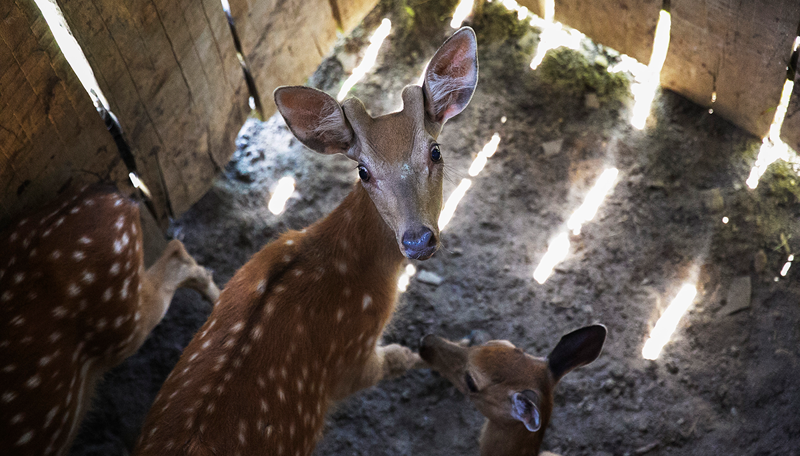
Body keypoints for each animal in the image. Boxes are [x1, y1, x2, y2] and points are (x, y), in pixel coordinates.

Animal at [134, 27, 478, 456]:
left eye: (435, 151)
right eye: (363, 170)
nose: (418, 240)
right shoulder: (352, 361)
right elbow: (401, 355)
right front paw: (464, 349)